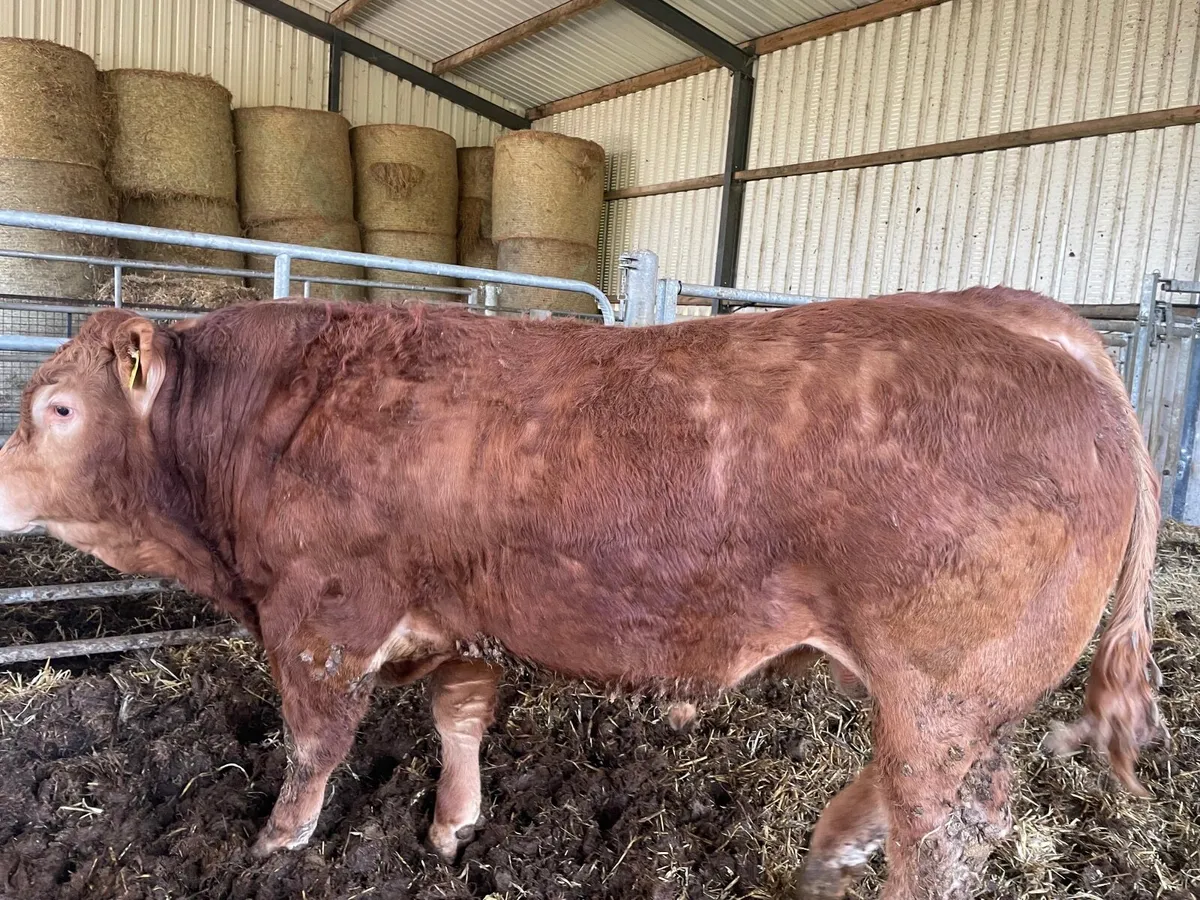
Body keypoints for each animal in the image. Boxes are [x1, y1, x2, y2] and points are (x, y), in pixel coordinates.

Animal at [0, 287, 1164, 900]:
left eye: (57, 409)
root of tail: (1025, 317)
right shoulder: (460, 620)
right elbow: (460, 716)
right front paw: (453, 828)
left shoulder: (319, 618)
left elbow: (314, 744)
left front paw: (276, 846)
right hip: (956, 698)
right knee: (948, 794)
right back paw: (833, 846)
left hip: (943, 685)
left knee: (942, 826)